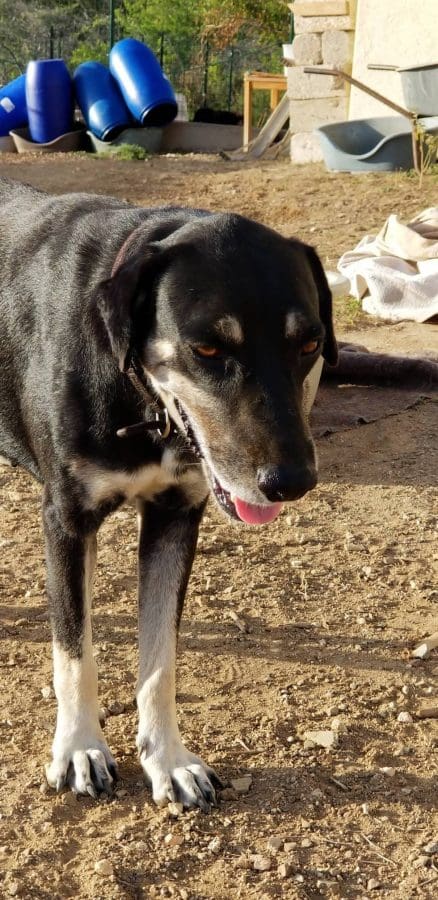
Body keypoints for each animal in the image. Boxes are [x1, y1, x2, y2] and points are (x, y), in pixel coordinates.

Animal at [0, 177, 337, 811]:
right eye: (207, 350)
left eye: (309, 344)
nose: (291, 481)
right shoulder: (66, 520)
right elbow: (74, 651)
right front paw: (79, 747)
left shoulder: (175, 517)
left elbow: (161, 659)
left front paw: (168, 759)